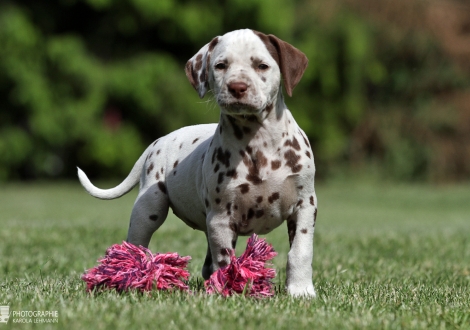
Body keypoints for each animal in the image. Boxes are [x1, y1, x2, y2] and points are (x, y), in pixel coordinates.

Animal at [78, 29, 320, 296]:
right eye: (221, 65)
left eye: (262, 65)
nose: (237, 87)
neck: (259, 141)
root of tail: (158, 141)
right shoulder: (221, 217)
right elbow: (225, 259)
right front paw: (230, 288)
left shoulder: (305, 205)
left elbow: (300, 252)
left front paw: (300, 291)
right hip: (149, 208)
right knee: (138, 241)